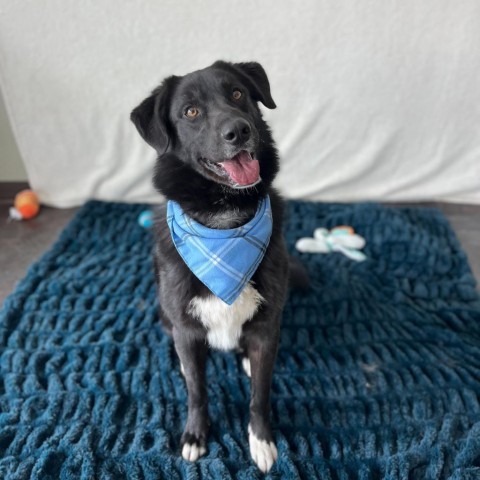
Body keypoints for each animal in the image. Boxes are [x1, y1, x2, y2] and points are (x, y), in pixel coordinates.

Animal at [129, 60, 306, 472]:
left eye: (238, 93)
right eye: (191, 111)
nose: (238, 131)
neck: (224, 225)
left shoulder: (267, 329)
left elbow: (260, 395)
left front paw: (261, 440)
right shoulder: (187, 328)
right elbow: (197, 392)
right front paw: (196, 435)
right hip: (165, 314)